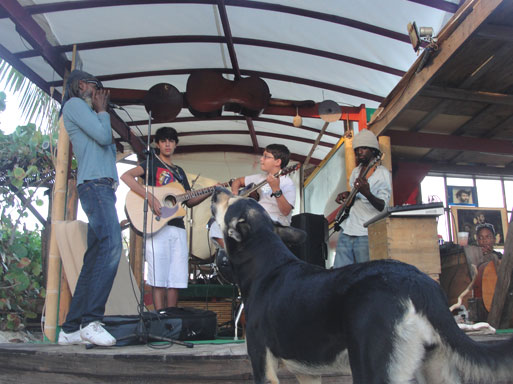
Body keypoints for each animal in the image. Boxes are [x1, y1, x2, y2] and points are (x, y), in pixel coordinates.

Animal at [210, 188, 512, 384]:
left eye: (231, 200)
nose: (216, 190)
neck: (267, 262)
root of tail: (418, 283)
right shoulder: (307, 372)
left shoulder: (262, 360)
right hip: (437, 370)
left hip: (372, 367)